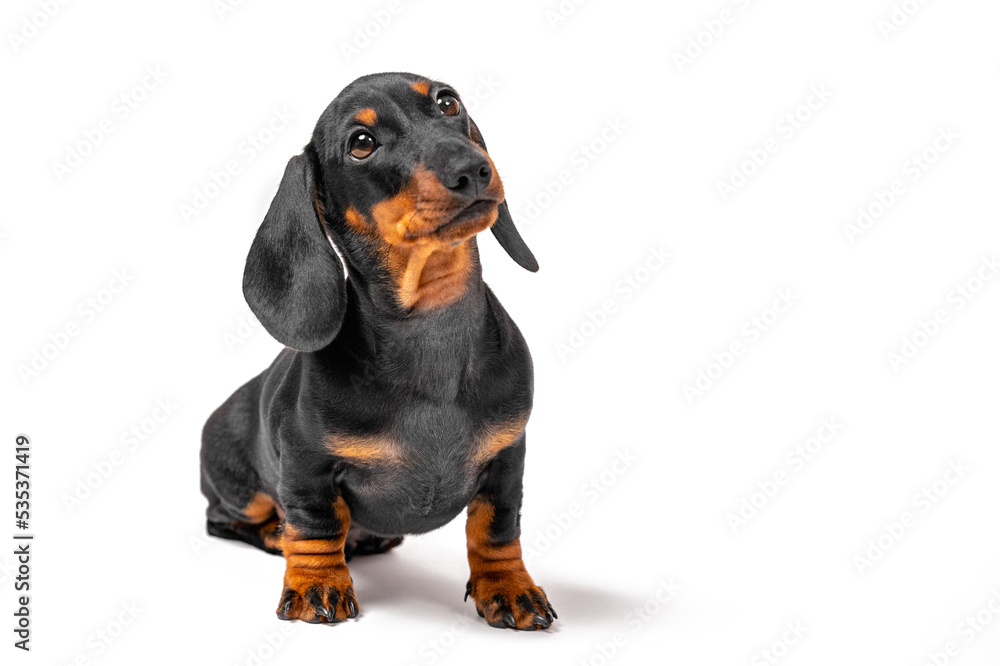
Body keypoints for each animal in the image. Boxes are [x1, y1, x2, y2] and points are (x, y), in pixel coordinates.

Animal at [195, 72, 556, 628]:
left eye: (447, 103)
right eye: (361, 143)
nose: (474, 169)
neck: (432, 323)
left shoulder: (507, 457)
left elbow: (497, 530)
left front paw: (509, 587)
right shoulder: (306, 463)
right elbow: (315, 525)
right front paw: (316, 584)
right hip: (240, 490)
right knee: (225, 519)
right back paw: (276, 536)